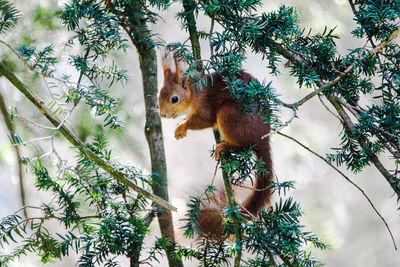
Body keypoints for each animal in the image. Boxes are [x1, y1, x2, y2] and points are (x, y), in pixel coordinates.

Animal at [158, 56, 274, 241]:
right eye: (158, 94)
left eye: (174, 99)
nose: (162, 114)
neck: (195, 93)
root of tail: (264, 139)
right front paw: (180, 124)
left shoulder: (206, 109)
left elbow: (202, 121)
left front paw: (182, 126)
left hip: (229, 114)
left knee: (244, 145)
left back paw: (225, 146)